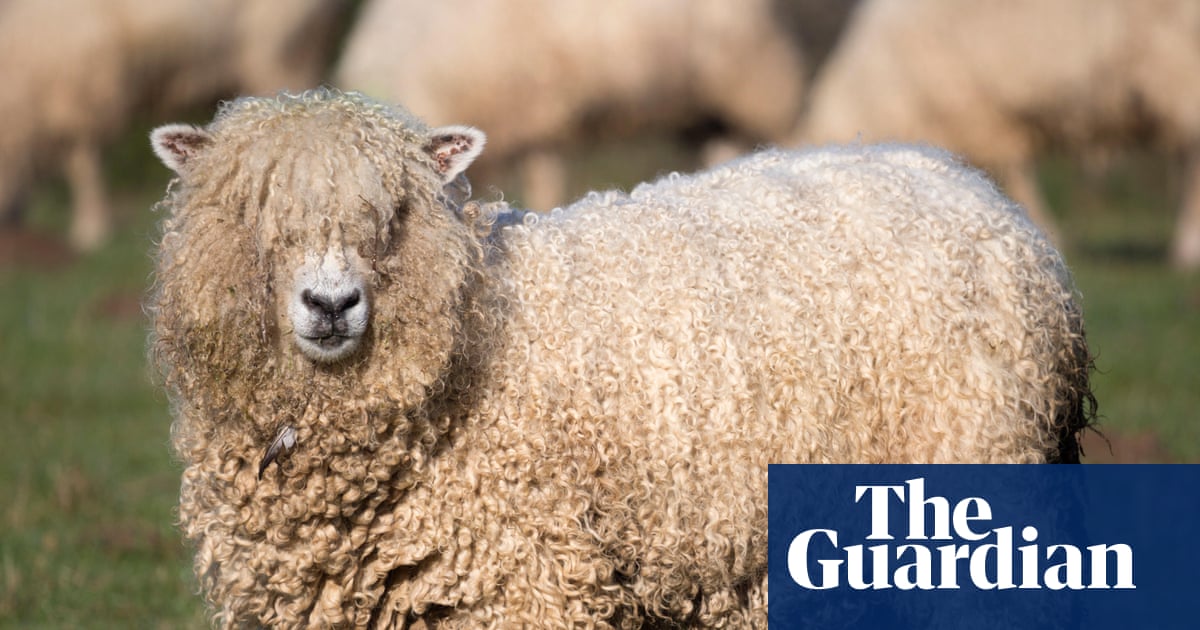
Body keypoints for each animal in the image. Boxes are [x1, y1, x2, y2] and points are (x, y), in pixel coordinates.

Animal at [797, 0, 1200, 268]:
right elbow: (1018, 175)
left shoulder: (977, 108)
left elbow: (1017, 174)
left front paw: (1045, 227)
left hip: (1179, 62)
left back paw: (1187, 249)